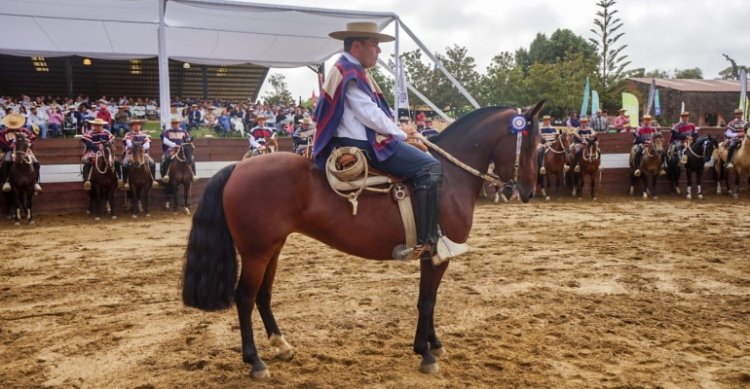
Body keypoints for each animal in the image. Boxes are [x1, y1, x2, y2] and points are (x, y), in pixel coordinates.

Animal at [182, 101, 548, 378]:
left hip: (272, 248)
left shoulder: (432, 258)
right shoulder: (435, 255)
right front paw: (425, 353)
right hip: (256, 251)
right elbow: (427, 302)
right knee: (244, 298)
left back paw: (282, 346)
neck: (447, 178)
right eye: (531, 144)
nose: (529, 191)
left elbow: (429, 301)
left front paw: (434, 343)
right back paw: (255, 361)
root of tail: (237, 168)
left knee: (263, 295)